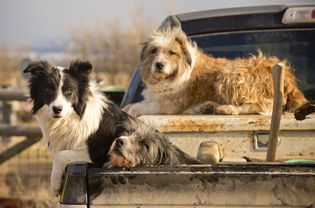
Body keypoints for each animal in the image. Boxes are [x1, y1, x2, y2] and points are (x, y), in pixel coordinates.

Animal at [24, 59, 198, 195]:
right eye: (48, 89)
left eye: (69, 91)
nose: (57, 109)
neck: (73, 118)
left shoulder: (96, 154)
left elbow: (61, 156)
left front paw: (54, 185)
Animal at [126, 26, 308, 116]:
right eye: (154, 51)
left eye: (172, 52)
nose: (159, 65)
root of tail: (289, 78)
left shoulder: (170, 103)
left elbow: (141, 107)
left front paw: (133, 110)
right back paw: (207, 107)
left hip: (229, 75)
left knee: (263, 106)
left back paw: (228, 109)